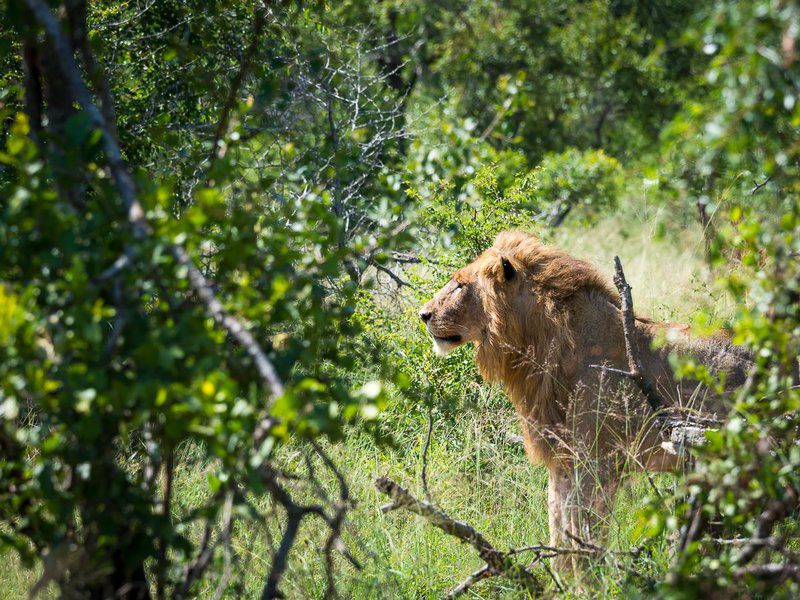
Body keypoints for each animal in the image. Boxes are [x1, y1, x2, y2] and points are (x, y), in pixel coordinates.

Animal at [422, 230, 752, 572]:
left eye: (460, 285)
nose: (423, 315)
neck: (543, 346)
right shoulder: (562, 462)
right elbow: (559, 528)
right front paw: (560, 579)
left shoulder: (598, 463)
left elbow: (586, 534)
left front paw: (588, 579)